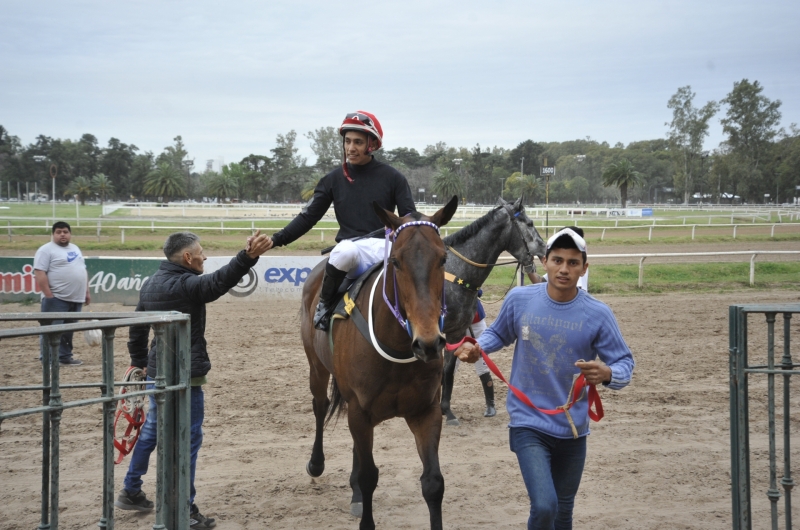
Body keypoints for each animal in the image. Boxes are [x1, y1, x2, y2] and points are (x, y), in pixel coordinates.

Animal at [302, 197, 456, 528]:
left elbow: (433, 482)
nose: (428, 343)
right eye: (395, 261)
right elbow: (369, 475)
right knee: (320, 406)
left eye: (443, 259)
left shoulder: (425, 411)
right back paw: (316, 464)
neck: (397, 348)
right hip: (317, 368)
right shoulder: (360, 411)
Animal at [440, 196, 548, 422]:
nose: (546, 247)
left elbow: (448, 370)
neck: (453, 275)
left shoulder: (456, 331)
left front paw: (446, 410)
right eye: (530, 223)